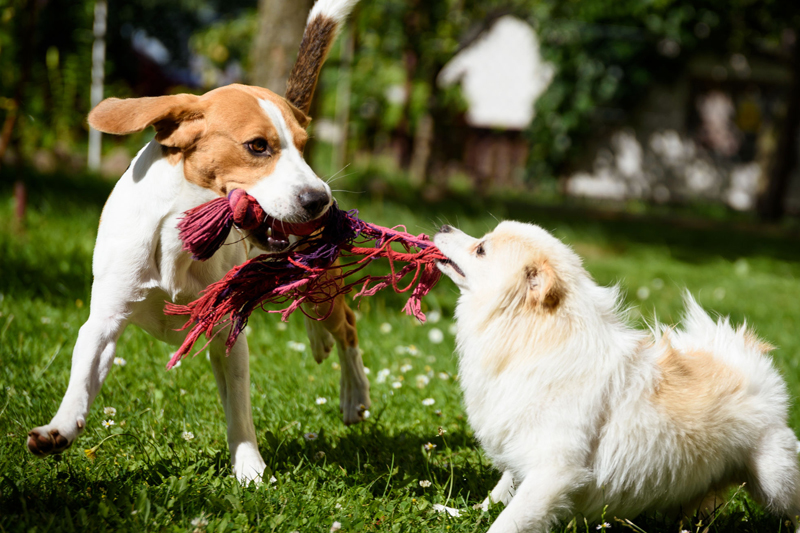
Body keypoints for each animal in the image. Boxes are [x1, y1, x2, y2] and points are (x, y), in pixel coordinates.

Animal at [26, 0, 370, 482]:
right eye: (258, 146)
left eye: (303, 147)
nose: (320, 199)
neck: (176, 234)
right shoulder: (105, 320)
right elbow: (81, 378)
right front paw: (59, 429)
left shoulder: (228, 331)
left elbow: (240, 411)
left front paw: (250, 470)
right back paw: (319, 343)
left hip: (321, 282)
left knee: (347, 326)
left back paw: (354, 394)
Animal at [434, 221, 800, 532]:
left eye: (481, 248)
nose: (444, 227)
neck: (534, 336)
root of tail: (746, 360)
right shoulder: (524, 449)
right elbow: (501, 493)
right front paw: (462, 513)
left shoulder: (554, 470)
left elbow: (510, 520)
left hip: (774, 476)